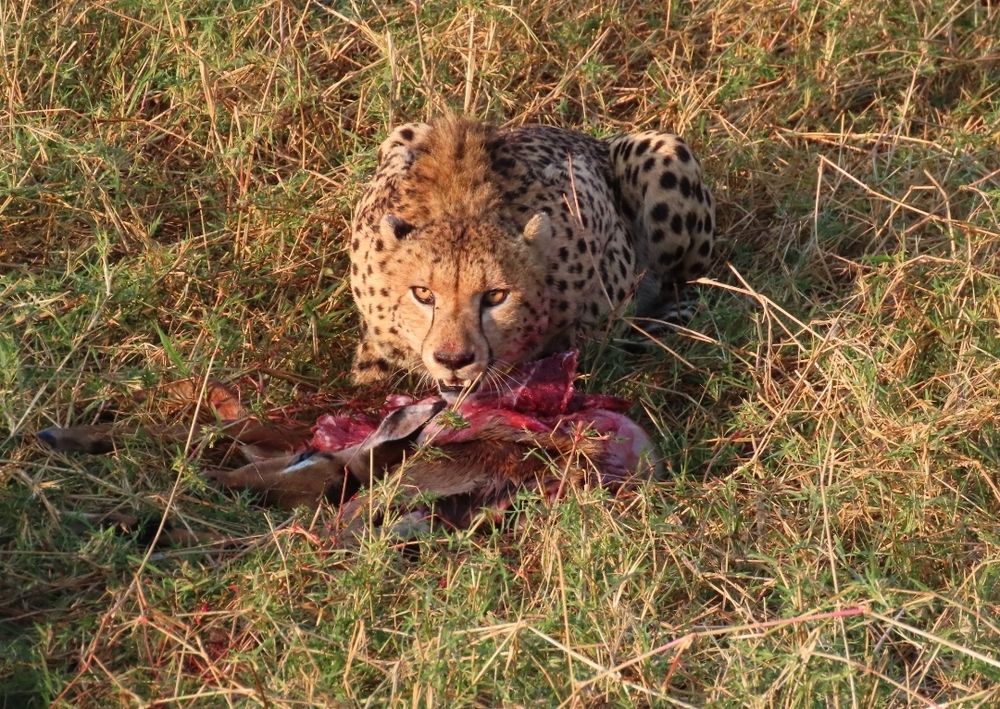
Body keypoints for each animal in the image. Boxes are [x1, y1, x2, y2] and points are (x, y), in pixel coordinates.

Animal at [347, 116, 715, 396]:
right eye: (422, 293)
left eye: (496, 296)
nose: (453, 360)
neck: (460, 207)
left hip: (664, 151)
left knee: (688, 280)